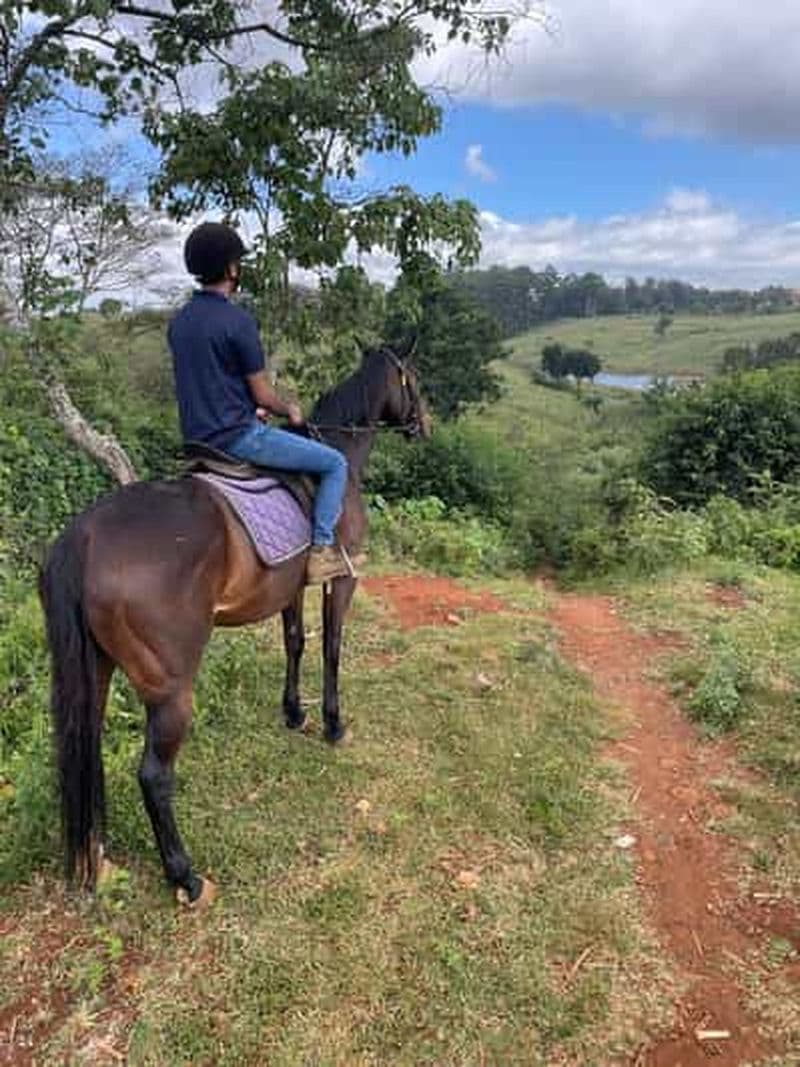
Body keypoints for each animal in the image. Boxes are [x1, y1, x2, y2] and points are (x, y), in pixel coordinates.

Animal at [38, 342, 430, 906]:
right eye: (413, 380)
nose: (425, 425)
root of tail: (85, 536)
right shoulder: (343, 577)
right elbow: (331, 646)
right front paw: (333, 723)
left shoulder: (291, 587)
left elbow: (295, 642)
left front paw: (293, 713)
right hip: (170, 689)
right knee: (154, 776)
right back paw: (185, 876)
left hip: (96, 670)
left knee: (85, 755)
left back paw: (97, 856)